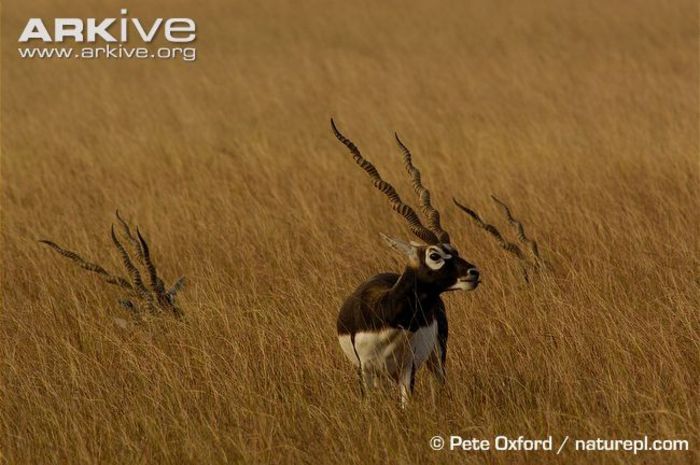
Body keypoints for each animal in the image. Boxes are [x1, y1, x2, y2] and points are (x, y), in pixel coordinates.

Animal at [330, 119, 478, 406]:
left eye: (454, 249)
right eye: (434, 255)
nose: (473, 272)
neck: (389, 315)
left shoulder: (407, 369)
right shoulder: (365, 370)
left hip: (435, 357)